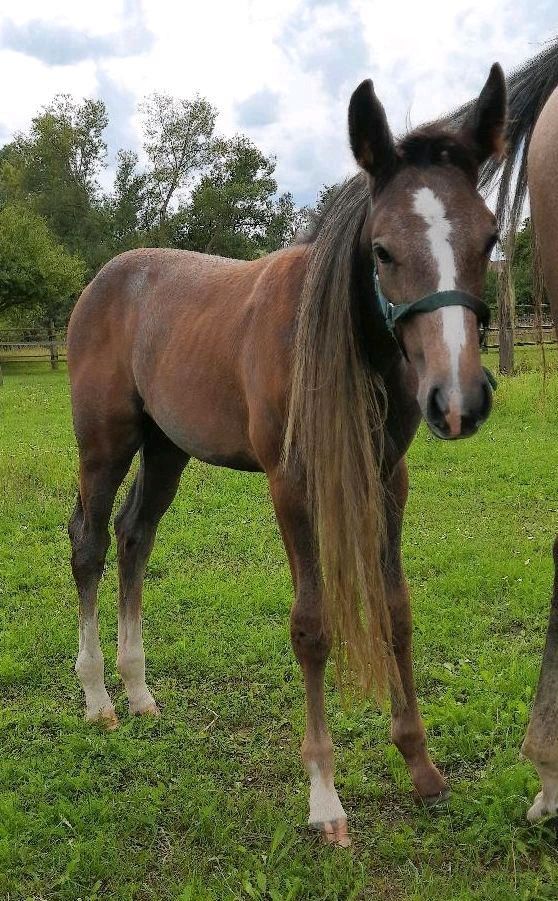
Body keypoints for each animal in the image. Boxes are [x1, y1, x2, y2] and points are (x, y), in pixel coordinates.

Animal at [69, 65, 508, 844]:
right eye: (382, 250)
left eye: (489, 237)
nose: (458, 401)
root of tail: (100, 283)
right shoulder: (292, 483)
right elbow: (312, 627)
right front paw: (325, 799)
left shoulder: (388, 480)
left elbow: (397, 609)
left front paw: (421, 766)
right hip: (105, 446)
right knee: (89, 547)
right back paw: (99, 700)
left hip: (166, 450)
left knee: (133, 538)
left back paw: (140, 689)